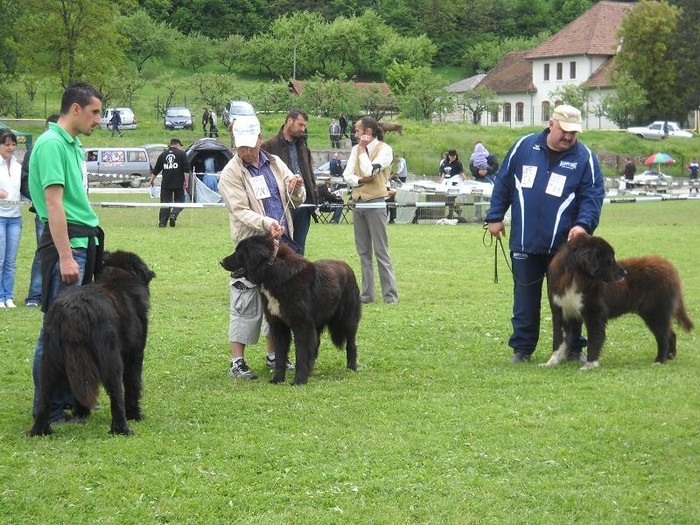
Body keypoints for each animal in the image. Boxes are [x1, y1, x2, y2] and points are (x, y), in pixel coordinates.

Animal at [29, 250, 154, 434]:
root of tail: (75, 309)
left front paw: (81, 412)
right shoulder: (135, 354)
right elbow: (133, 385)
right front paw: (135, 415)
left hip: (50, 360)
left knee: (45, 395)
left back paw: (40, 430)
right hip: (110, 359)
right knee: (116, 393)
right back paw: (122, 428)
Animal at [221, 235, 360, 382]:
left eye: (239, 252)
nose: (221, 261)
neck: (272, 270)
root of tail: (346, 266)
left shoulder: (302, 326)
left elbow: (301, 354)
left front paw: (299, 380)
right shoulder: (278, 325)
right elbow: (280, 356)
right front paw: (277, 379)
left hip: (347, 321)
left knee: (351, 344)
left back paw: (351, 367)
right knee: (316, 345)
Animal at [544, 235, 692, 370]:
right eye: (610, 260)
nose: (625, 273)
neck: (575, 277)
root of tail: (670, 268)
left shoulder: (594, 314)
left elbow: (594, 339)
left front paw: (590, 364)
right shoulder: (560, 313)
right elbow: (558, 341)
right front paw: (551, 363)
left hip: (655, 313)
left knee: (663, 336)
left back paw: (660, 360)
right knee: (670, 334)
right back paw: (670, 356)